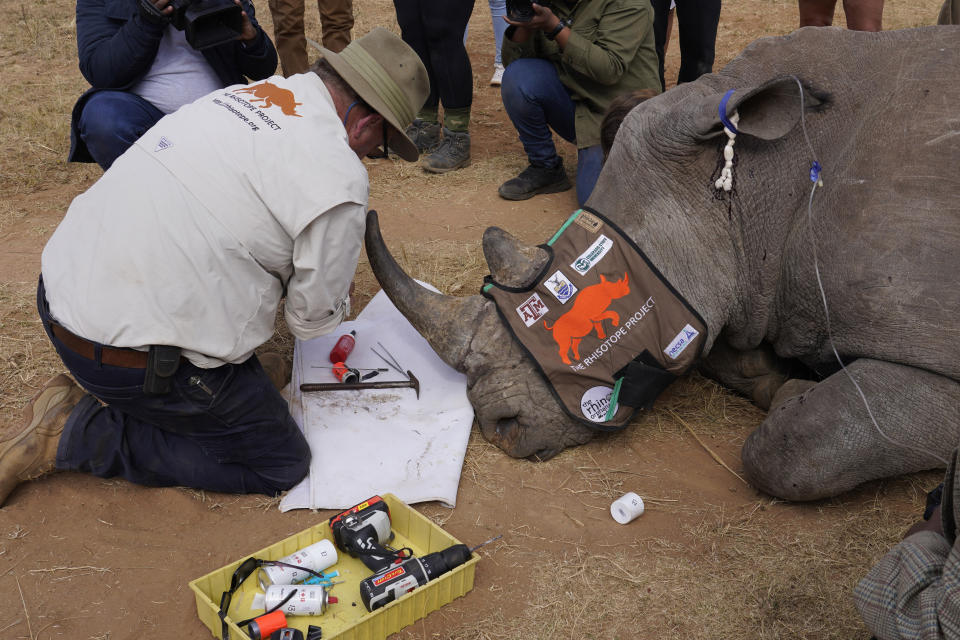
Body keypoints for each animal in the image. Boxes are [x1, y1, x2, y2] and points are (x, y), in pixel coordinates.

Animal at [366, 27, 960, 502]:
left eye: (575, 274)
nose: (498, 427)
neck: (760, 183)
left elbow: (790, 448)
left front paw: (794, 393)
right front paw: (775, 379)